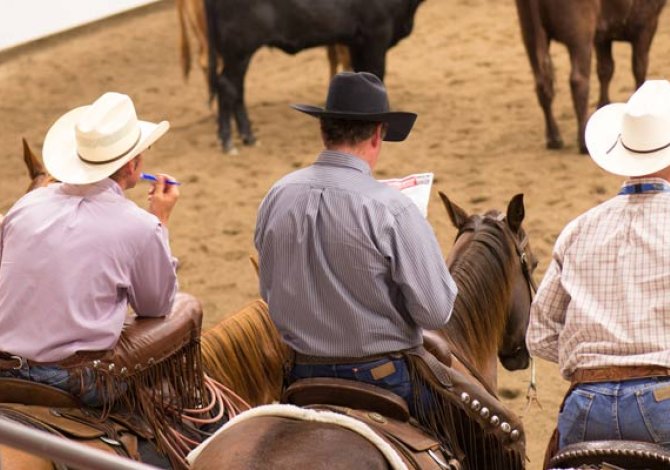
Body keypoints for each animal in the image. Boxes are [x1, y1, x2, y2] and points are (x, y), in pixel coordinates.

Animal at [205, 0, 426, 152]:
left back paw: (247, 136)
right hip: (239, 49)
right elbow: (376, 73)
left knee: (237, 89)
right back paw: (228, 141)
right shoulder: (376, 34)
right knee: (227, 86)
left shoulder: (357, 42)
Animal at [516, 0, 668, 152]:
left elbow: (605, 69)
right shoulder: (647, 25)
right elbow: (639, 67)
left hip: (529, 35)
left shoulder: (602, 37)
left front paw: (603, 106)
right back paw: (583, 141)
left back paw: (554, 138)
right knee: (578, 81)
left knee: (541, 84)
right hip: (580, 38)